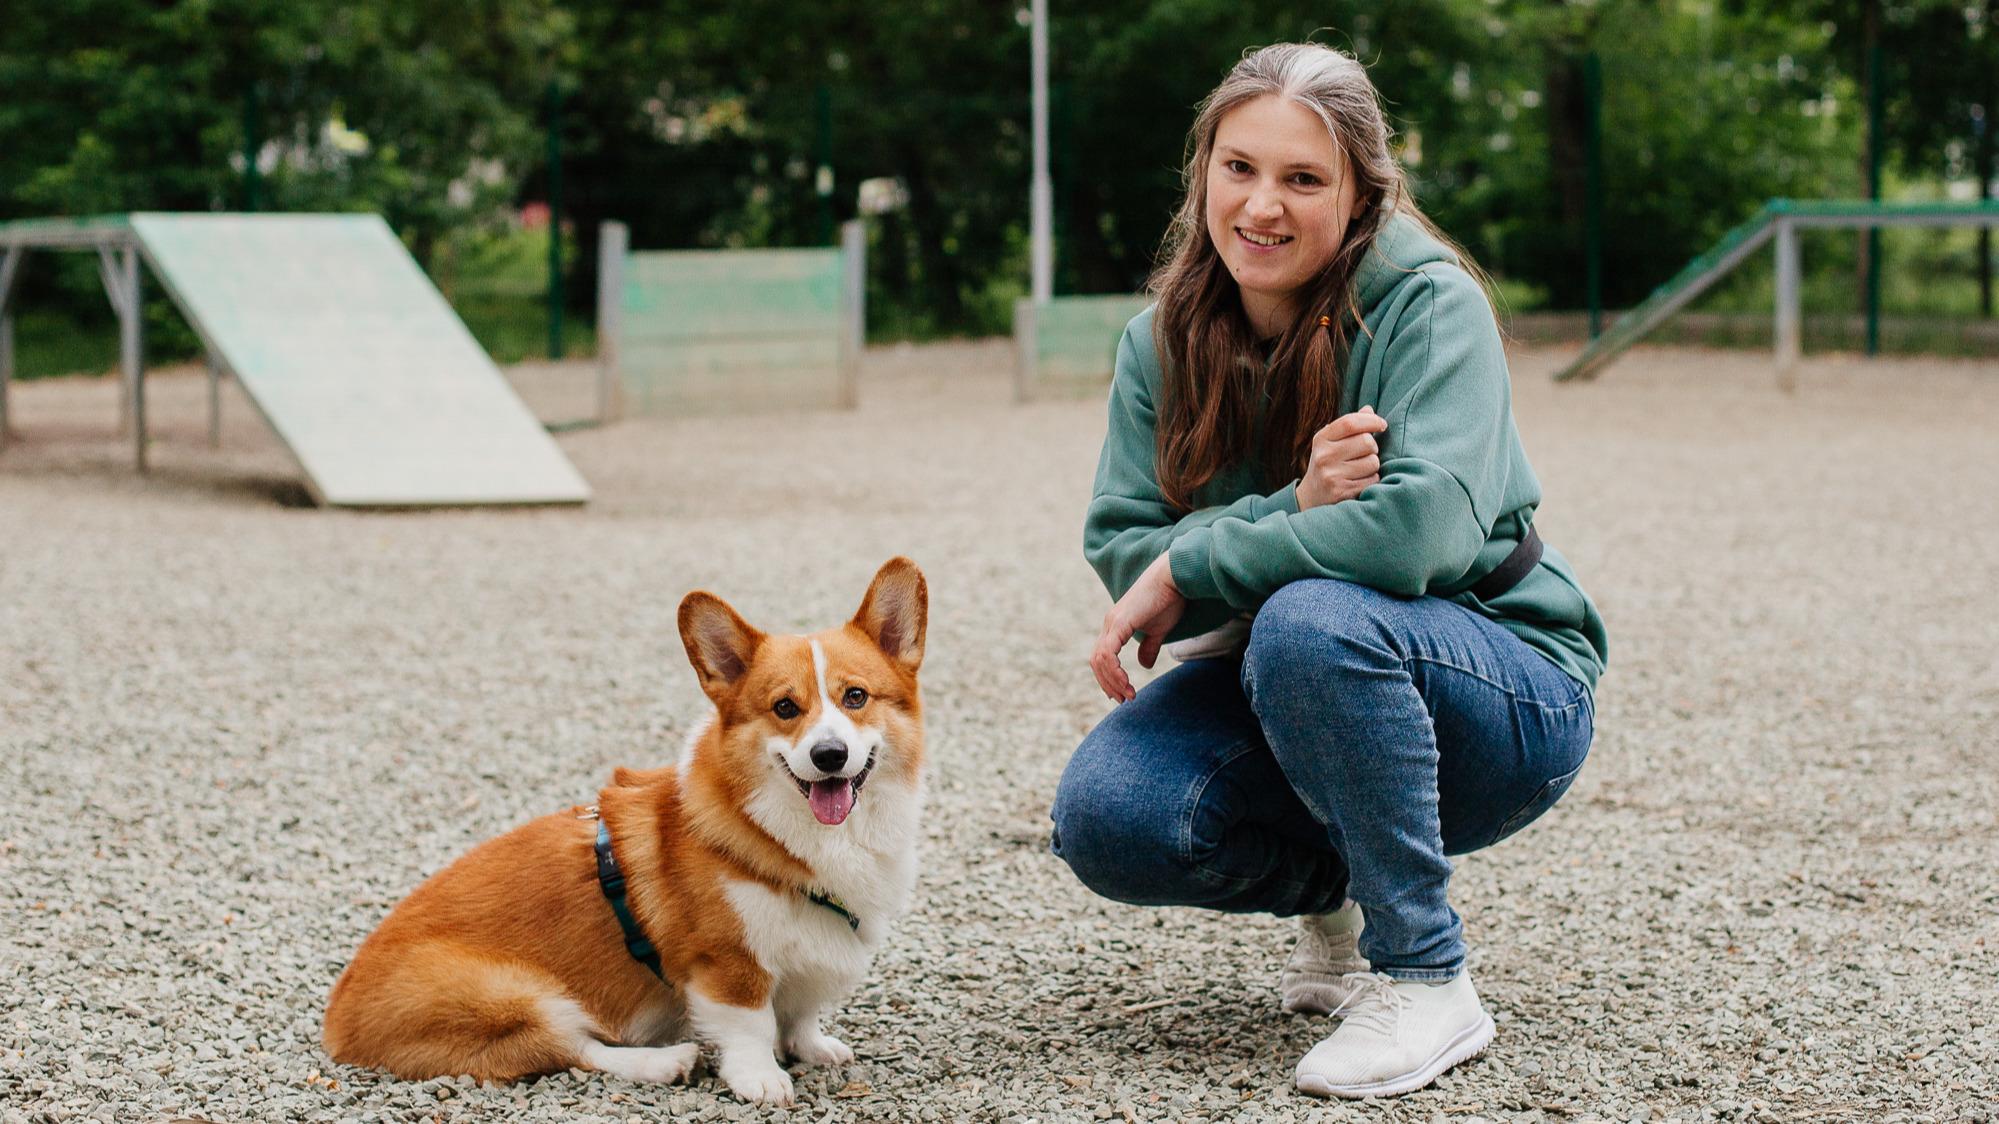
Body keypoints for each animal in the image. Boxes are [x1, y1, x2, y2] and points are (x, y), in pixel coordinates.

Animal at [321, 556, 927, 1096]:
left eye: (855, 697)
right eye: (784, 708)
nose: (829, 755)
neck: (802, 835)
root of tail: (337, 1024)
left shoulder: (810, 961)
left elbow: (800, 1012)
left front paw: (812, 1047)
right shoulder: (728, 963)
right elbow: (750, 1024)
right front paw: (760, 1080)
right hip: (512, 994)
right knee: (568, 1047)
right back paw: (665, 1062)